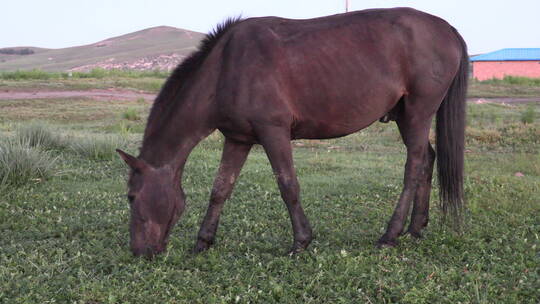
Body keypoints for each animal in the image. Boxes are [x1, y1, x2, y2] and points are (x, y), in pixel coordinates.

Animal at [116, 7, 466, 256]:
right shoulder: (238, 139)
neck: (225, 68)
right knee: (427, 159)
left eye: (132, 196)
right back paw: (416, 228)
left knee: (414, 166)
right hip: (406, 116)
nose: (139, 252)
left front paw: (301, 241)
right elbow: (221, 189)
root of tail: (446, 28)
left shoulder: (273, 132)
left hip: (419, 112)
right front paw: (203, 241)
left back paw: (390, 235)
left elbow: (288, 185)